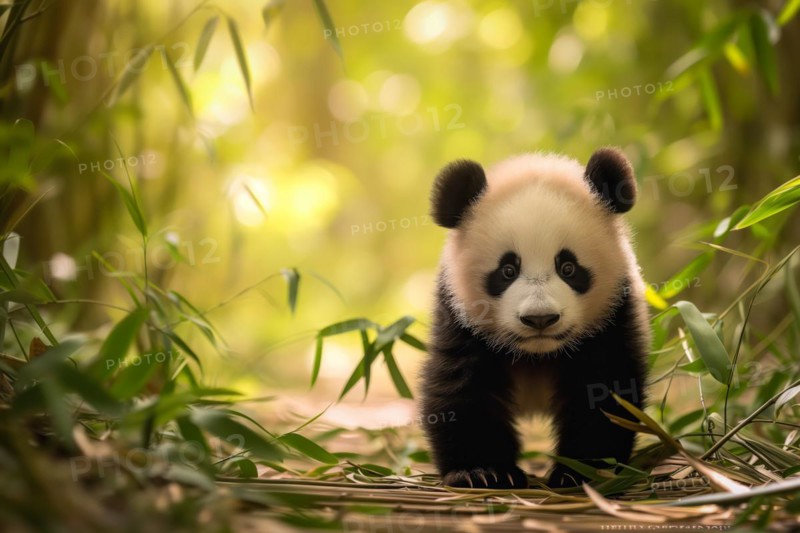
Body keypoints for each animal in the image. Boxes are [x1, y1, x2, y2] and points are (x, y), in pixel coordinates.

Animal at [420, 148, 650, 489]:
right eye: (507, 270)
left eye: (568, 268)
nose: (540, 318)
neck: (536, 354)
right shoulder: (460, 318)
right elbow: (462, 386)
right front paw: (481, 471)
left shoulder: (612, 316)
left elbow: (605, 389)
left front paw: (581, 471)